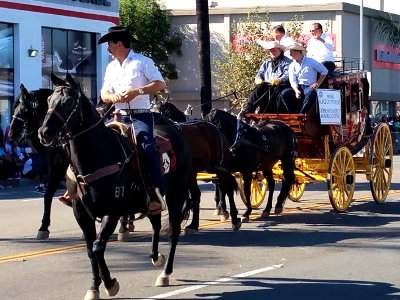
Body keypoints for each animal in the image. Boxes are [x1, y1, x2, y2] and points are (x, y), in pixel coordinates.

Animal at [38, 73, 192, 300]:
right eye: (49, 100)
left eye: (68, 102)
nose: (44, 132)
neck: (97, 156)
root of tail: (176, 130)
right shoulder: (82, 216)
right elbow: (90, 250)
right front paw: (94, 287)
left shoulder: (112, 212)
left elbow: (98, 247)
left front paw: (110, 283)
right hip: (152, 200)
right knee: (156, 223)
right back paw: (156, 257)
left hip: (176, 194)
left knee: (173, 231)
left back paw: (165, 274)